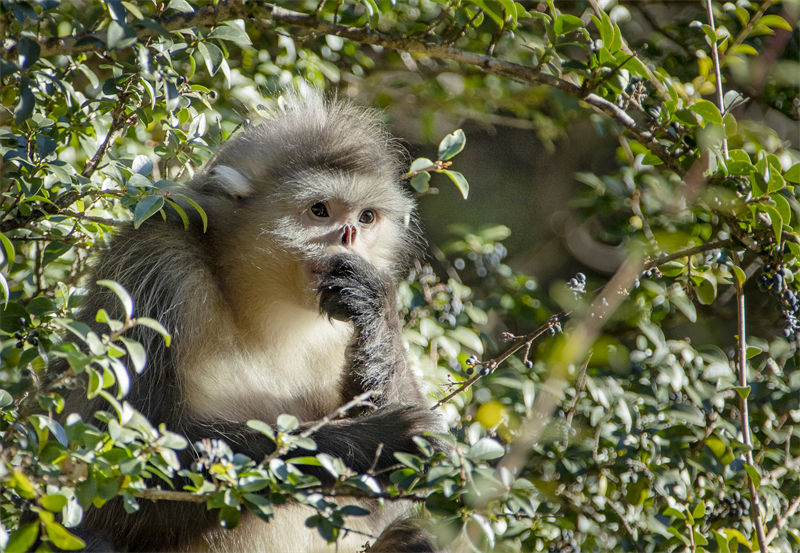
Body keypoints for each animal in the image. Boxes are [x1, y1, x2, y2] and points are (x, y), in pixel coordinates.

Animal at [64, 91, 444, 552]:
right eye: (320, 210)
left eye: (366, 217)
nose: (350, 235)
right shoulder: (156, 267)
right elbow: (115, 476)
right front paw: (374, 442)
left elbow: (390, 505)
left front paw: (373, 303)